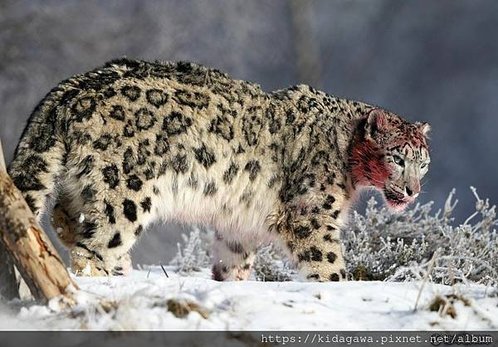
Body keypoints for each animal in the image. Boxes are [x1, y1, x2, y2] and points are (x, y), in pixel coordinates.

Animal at [6, 59, 432, 282]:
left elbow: (233, 262)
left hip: (84, 187)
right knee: (91, 248)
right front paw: (337, 287)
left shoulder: (239, 226)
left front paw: (232, 282)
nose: (412, 190)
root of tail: (71, 89)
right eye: (397, 158)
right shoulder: (311, 216)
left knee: (63, 216)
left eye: (423, 164)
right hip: (125, 196)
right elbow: (327, 263)